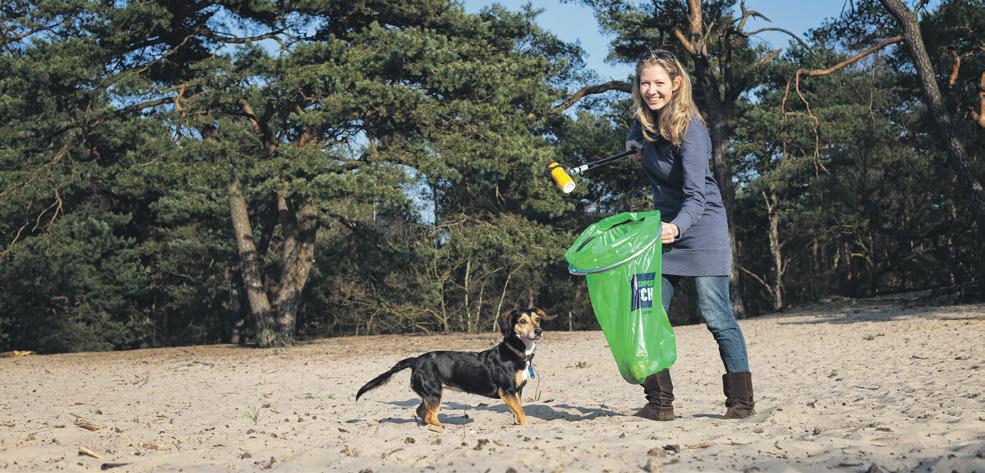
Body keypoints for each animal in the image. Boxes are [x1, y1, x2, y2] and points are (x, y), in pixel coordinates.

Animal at [355, 307, 556, 427]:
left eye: (537, 319)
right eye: (522, 321)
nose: (539, 331)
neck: (517, 351)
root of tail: (416, 360)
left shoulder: (517, 392)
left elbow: (517, 413)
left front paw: (518, 426)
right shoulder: (506, 392)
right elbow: (521, 413)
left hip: (429, 393)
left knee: (421, 411)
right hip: (434, 393)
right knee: (429, 415)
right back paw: (441, 428)